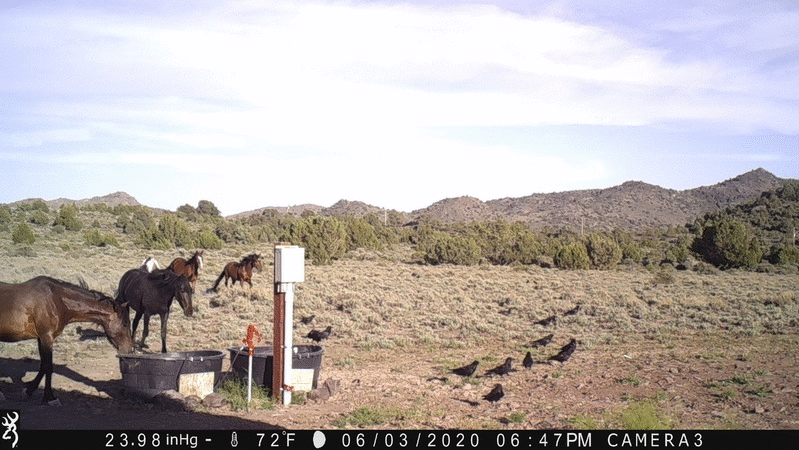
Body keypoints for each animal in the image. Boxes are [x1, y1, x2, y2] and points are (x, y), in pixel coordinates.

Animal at [0, 276, 133, 403]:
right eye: (125, 324)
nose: (129, 349)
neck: (55, 300)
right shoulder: (47, 337)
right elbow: (48, 367)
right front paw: (50, 397)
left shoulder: (41, 338)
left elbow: (43, 366)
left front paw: (29, 391)